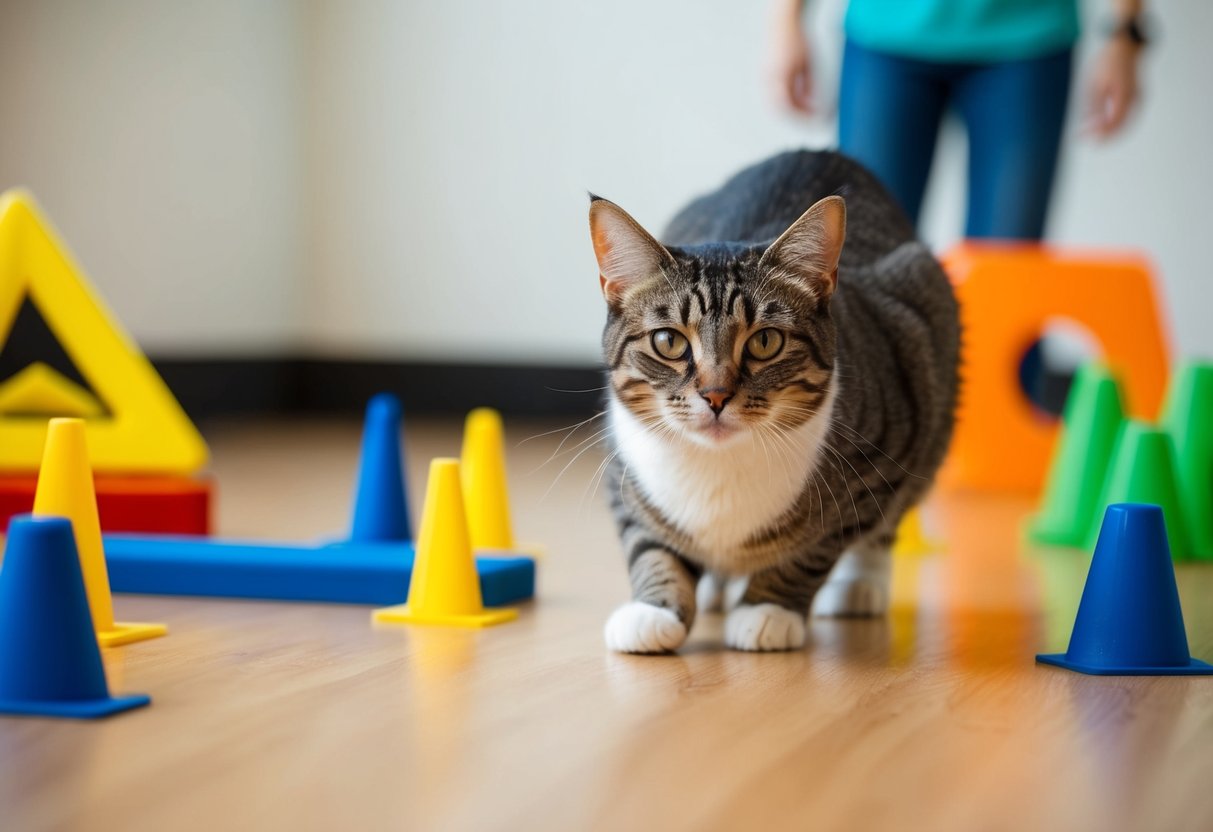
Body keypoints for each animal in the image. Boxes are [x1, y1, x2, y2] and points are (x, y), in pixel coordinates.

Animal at [587, 153, 955, 654]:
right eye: (668, 341)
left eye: (765, 342)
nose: (716, 395)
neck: (718, 465)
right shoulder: (624, 471)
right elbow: (649, 543)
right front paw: (654, 610)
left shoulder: (882, 457)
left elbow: (820, 546)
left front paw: (767, 609)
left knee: (882, 528)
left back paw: (858, 587)